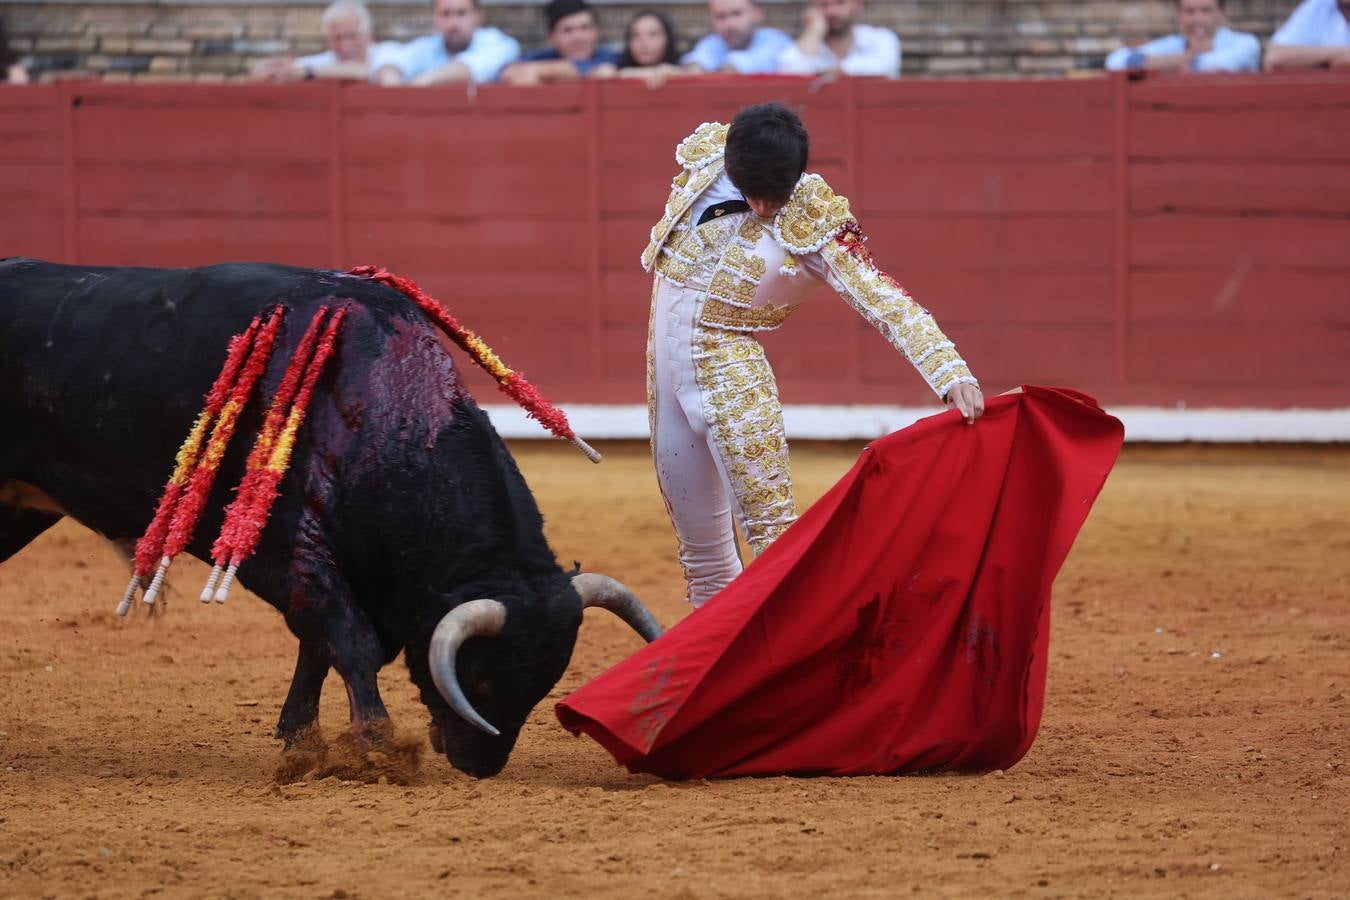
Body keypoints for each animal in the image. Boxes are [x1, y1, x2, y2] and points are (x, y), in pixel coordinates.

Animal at [0, 256, 661, 777]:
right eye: (482, 680)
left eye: (547, 680)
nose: (481, 766)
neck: (372, 402)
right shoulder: (283, 550)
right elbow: (349, 639)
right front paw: (378, 749)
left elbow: (319, 645)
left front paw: (303, 745)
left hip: (16, 508)